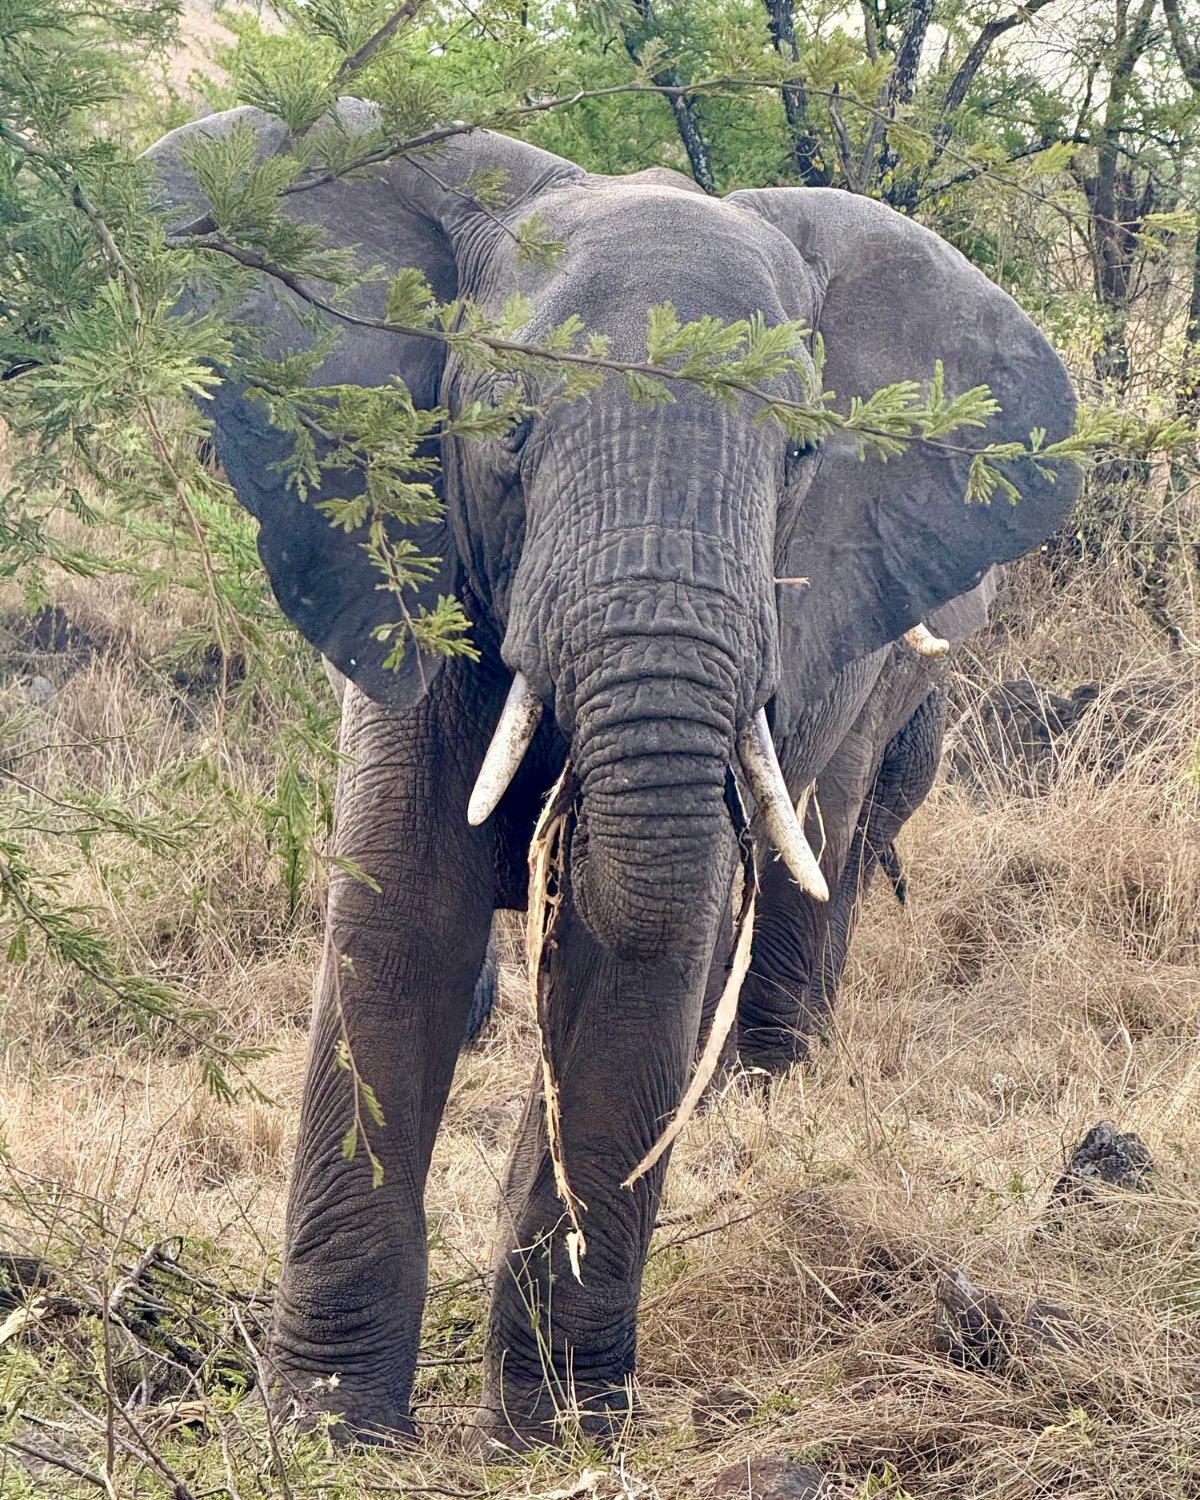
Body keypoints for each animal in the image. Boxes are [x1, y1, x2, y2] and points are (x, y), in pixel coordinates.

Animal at [145, 100, 1081, 1447]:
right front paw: (326, 1428)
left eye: (802, 450)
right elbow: (399, 925)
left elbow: (650, 949)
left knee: (811, 846)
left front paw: (558, 1434)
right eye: (509, 431)